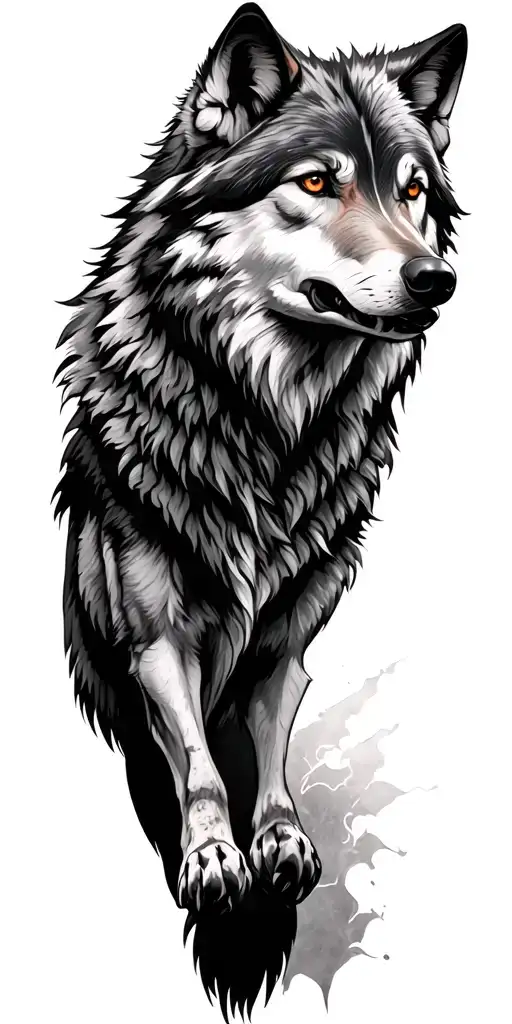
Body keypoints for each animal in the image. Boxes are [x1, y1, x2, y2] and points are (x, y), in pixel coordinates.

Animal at [55, 4, 467, 1017]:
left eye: (412, 192)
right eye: (317, 181)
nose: (435, 280)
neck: (266, 424)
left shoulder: (289, 633)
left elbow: (270, 744)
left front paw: (278, 836)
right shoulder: (154, 634)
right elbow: (199, 761)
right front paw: (212, 856)